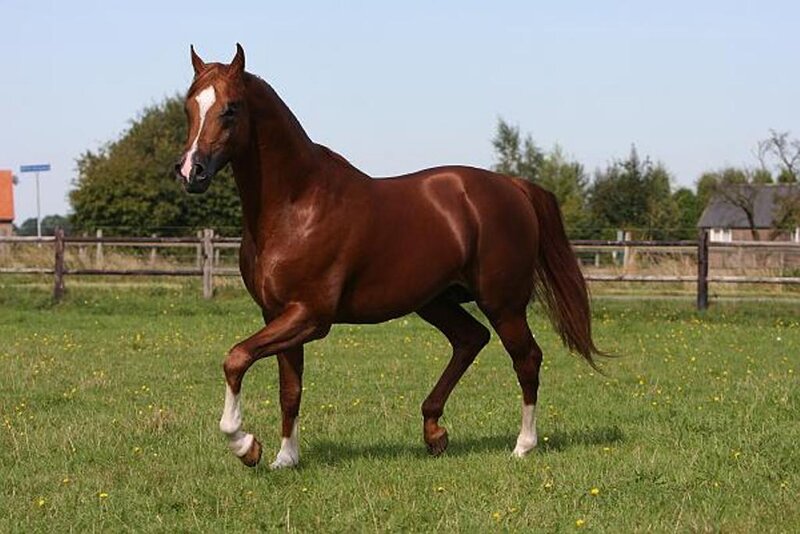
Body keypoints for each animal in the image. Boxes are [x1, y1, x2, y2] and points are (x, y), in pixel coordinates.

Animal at [174, 44, 604, 469]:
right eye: (189, 106)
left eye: (231, 108)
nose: (191, 172)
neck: (296, 206)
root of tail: (514, 187)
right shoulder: (277, 313)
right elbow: (289, 389)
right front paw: (285, 457)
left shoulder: (310, 316)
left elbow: (236, 358)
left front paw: (245, 445)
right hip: (435, 300)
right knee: (470, 339)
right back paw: (434, 433)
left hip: (503, 304)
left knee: (526, 359)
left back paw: (522, 446)